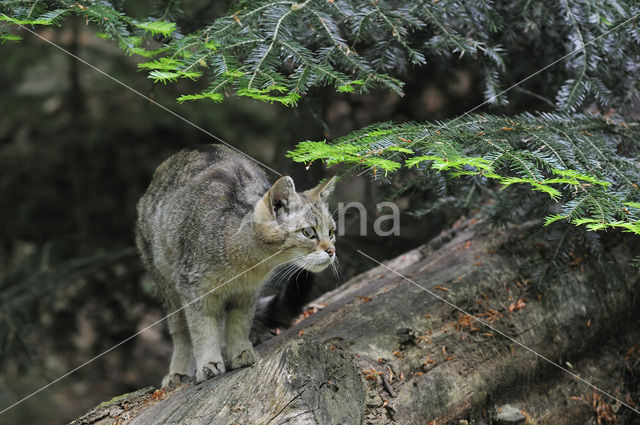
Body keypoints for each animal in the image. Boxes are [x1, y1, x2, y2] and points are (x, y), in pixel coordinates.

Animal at [134, 144, 336, 386]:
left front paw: (240, 352)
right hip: (166, 282)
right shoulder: (193, 289)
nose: (332, 251)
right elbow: (201, 330)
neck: (249, 263)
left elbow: (239, 325)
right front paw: (208, 362)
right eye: (308, 232)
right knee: (180, 329)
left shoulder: (246, 293)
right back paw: (179, 370)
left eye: (331, 232)